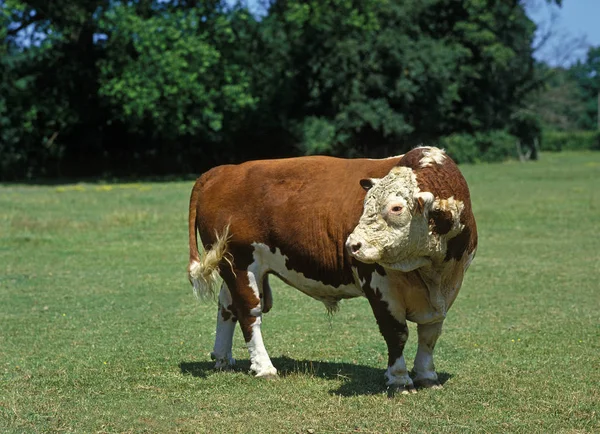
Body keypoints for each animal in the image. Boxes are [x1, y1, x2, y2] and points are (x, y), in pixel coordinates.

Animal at [188, 146, 478, 394]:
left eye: (396, 208)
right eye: (365, 204)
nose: (351, 244)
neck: (432, 271)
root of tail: (223, 170)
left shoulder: (450, 285)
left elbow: (430, 333)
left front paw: (427, 376)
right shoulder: (378, 284)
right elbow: (396, 332)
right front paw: (399, 379)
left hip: (230, 265)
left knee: (227, 306)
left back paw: (222, 358)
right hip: (240, 263)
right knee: (249, 313)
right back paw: (264, 367)